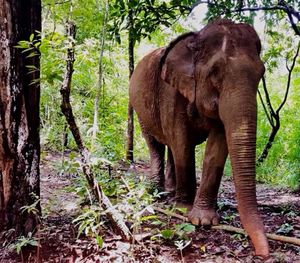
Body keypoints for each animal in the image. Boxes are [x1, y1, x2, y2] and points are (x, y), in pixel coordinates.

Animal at [129, 19, 270, 258]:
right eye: (215, 71)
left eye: (262, 73)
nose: (263, 253)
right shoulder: (170, 91)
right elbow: (181, 141)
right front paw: (182, 210)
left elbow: (217, 145)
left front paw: (203, 220)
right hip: (140, 109)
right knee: (155, 143)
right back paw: (157, 192)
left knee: (169, 148)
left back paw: (171, 191)